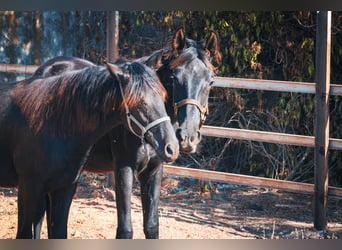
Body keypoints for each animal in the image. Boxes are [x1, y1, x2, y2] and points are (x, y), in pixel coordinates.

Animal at [0, 61, 180, 238]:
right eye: (140, 102)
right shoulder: (30, 186)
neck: (52, 123)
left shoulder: (64, 188)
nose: (172, 146)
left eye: (163, 97)